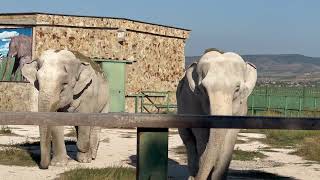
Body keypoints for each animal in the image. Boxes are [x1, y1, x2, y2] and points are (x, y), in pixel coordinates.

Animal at [176, 49, 256, 180]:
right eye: (203, 89)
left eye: (237, 89)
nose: (198, 178)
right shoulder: (194, 104)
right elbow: (202, 137)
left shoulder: (241, 107)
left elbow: (229, 139)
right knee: (188, 139)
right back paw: (192, 174)